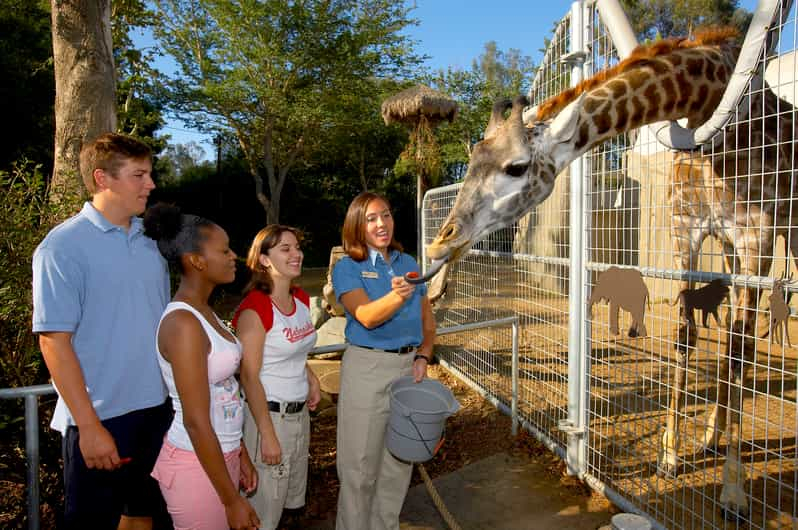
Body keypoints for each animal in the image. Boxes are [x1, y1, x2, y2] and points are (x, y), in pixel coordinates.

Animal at [422, 26, 796, 516]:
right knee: (735, 328)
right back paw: (710, 435)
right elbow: (686, 335)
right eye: (470, 163)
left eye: (516, 167)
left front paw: (733, 491)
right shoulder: (688, 233)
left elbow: (738, 350)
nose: (440, 241)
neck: (709, 103)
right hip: (729, 250)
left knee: (744, 338)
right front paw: (670, 456)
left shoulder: (757, 236)